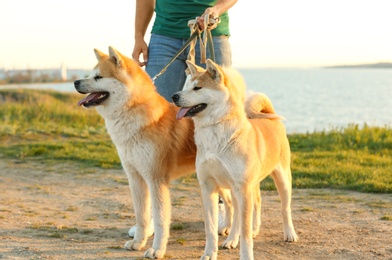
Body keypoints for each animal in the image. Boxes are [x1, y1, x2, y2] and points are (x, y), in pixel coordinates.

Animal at [73, 47, 234, 258]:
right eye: (91, 75)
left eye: (98, 77)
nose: (75, 82)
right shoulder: (136, 178)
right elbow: (142, 216)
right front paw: (138, 242)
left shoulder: (156, 180)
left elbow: (160, 221)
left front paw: (157, 249)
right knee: (231, 203)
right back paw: (228, 228)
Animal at [172, 59, 298, 260]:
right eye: (185, 87)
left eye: (198, 88)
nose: (174, 96)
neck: (214, 132)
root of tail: (270, 117)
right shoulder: (208, 187)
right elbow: (210, 228)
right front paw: (210, 253)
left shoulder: (242, 187)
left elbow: (245, 236)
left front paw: (245, 253)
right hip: (234, 188)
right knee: (250, 205)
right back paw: (237, 236)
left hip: (281, 180)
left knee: (284, 209)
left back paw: (289, 233)